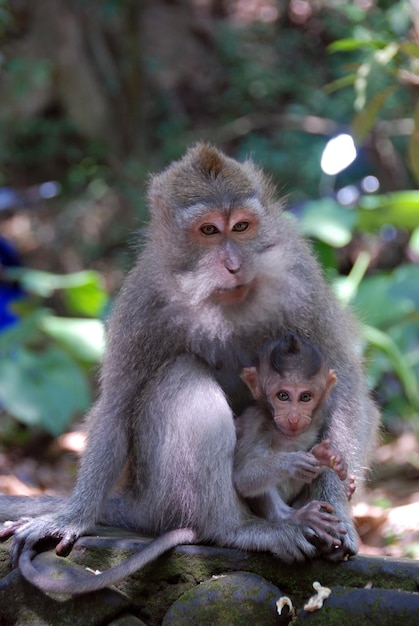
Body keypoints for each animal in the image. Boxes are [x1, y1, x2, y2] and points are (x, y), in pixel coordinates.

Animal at [235, 334, 356, 544]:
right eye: (283, 396)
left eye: (305, 397)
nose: (293, 418)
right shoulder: (253, 423)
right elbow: (243, 478)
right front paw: (292, 463)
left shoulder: (321, 414)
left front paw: (325, 457)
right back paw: (292, 516)